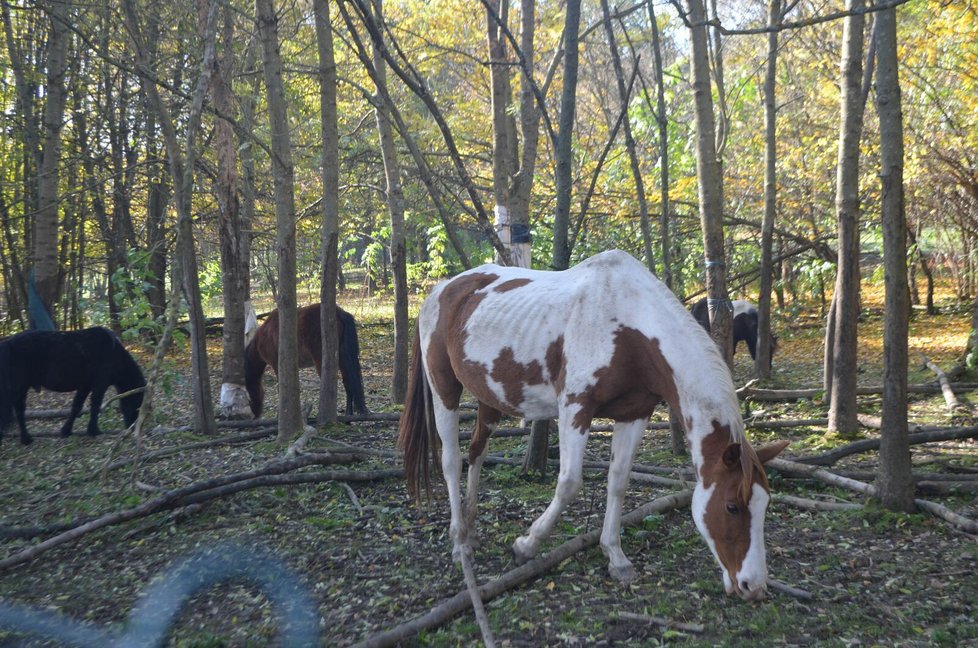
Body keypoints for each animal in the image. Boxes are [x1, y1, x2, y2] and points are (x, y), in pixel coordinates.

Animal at [0, 330, 147, 446]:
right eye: (138, 401)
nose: (132, 427)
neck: (115, 354)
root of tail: (9, 343)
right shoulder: (100, 384)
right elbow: (95, 406)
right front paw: (94, 431)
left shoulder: (85, 386)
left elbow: (76, 407)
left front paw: (66, 431)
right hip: (20, 387)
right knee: (19, 411)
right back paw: (26, 439)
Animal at [396, 251, 784, 600]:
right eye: (732, 506)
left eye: (765, 503)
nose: (753, 587)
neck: (630, 328)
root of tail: (443, 289)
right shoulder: (575, 409)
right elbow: (569, 483)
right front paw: (526, 544)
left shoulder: (634, 414)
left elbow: (618, 482)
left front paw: (616, 556)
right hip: (444, 390)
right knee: (451, 461)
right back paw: (460, 540)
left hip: (489, 398)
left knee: (476, 453)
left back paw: (471, 526)